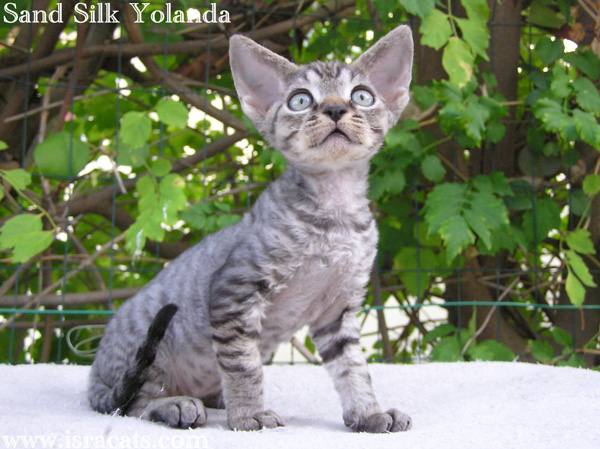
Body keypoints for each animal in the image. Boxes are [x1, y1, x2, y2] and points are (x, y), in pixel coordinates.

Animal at [88, 25, 412, 434]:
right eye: (300, 100)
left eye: (362, 96)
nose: (336, 108)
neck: (336, 215)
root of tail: (94, 379)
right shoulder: (234, 291)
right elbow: (244, 365)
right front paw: (248, 414)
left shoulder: (338, 309)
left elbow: (353, 369)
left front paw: (368, 413)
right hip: (149, 344)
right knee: (130, 403)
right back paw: (174, 405)